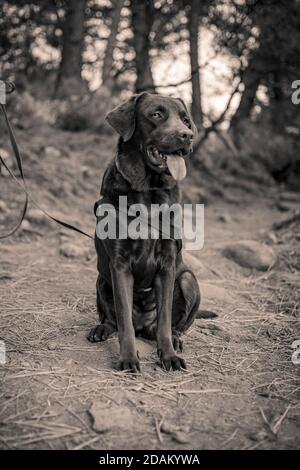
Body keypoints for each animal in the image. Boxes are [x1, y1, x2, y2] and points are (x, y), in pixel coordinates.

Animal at [86, 92, 206, 370]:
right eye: (156, 114)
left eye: (186, 120)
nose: (187, 135)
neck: (148, 192)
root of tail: (144, 326)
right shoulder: (119, 265)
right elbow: (124, 321)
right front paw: (128, 358)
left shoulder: (167, 263)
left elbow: (163, 322)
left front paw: (169, 355)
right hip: (101, 280)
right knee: (113, 320)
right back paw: (101, 329)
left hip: (188, 279)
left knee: (175, 324)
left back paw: (176, 338)